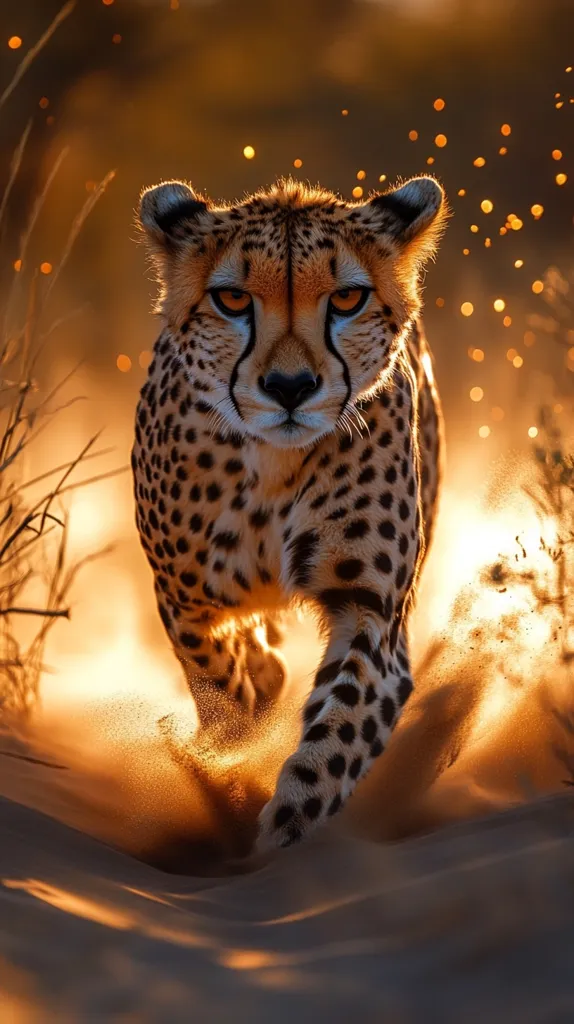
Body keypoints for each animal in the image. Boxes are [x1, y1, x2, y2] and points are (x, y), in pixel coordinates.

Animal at [132, 174, 447, 852]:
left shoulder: (371, 615)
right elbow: (215, 679)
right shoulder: (181, 596)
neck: (275, 463)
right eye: (232, 300)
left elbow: (336, 737)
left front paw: (284, 836)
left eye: (348, 298)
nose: (290, 387)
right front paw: (231, 751)